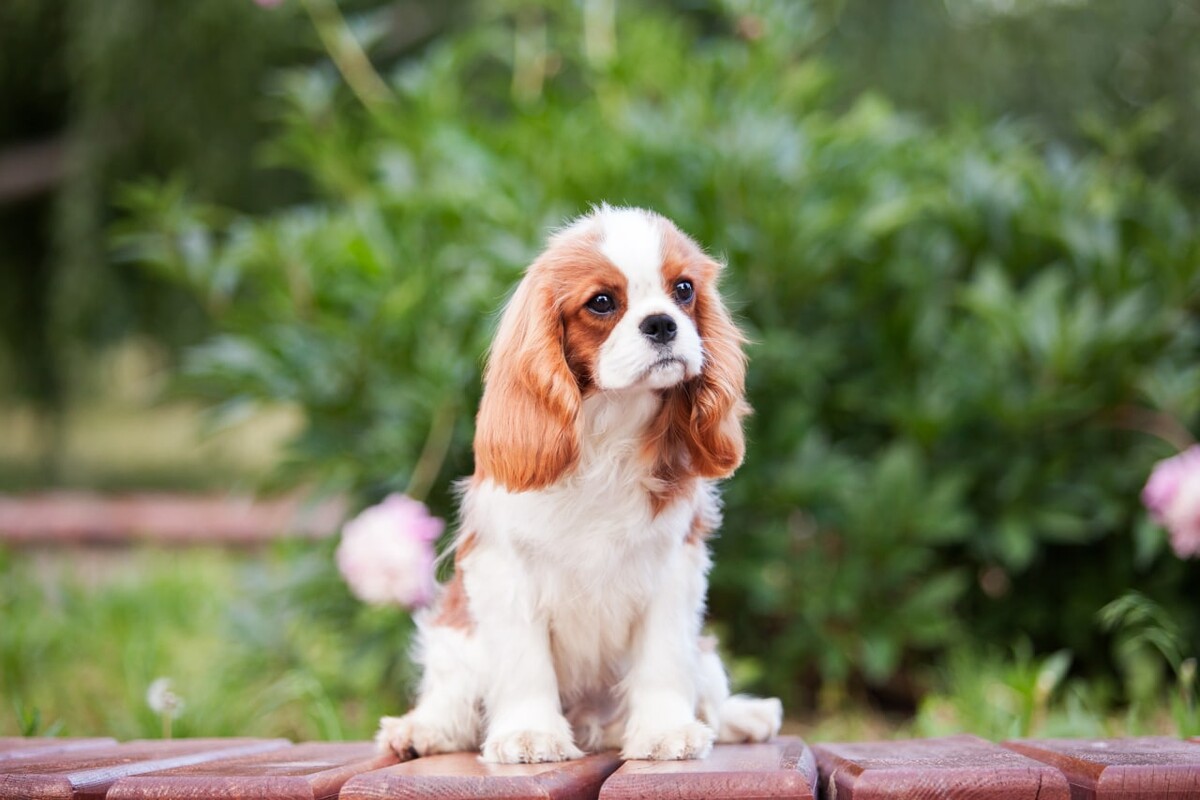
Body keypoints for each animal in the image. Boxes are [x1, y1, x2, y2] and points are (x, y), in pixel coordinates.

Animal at [379, 205, 782, 762]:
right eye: (602, 302)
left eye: (683, 290)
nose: (662, 323)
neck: (609, 426)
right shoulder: (504, 571)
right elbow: (524, 661)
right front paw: (529, 733)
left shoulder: (672, 568)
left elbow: (662, 656)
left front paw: (665, 731)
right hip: (454, 640)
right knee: (452, 698)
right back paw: (424, 728)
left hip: (701, 658)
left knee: (711, 697)